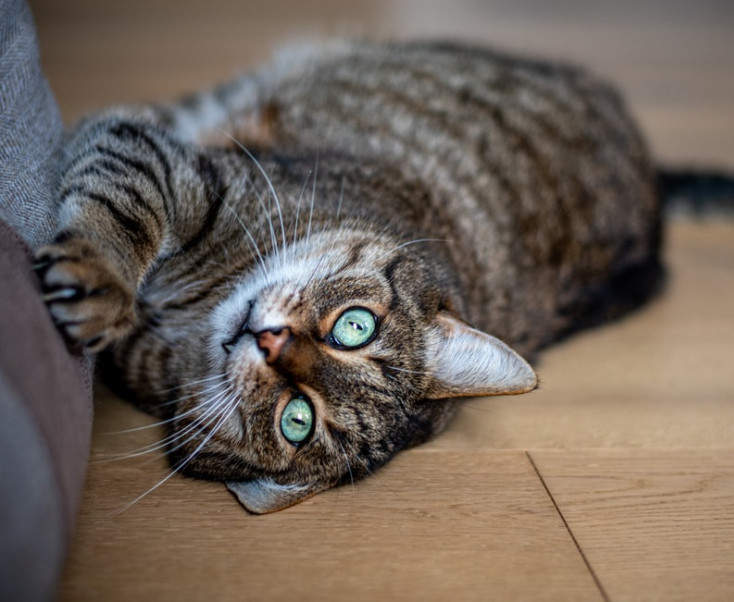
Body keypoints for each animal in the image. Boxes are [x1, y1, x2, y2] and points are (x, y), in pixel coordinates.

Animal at [36, 39, 668, 510]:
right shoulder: (183, 172)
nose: (269, 341)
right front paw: (100, 279)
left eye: (297, 420)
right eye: (355, 327)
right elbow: (122, 210)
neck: (197, 308)